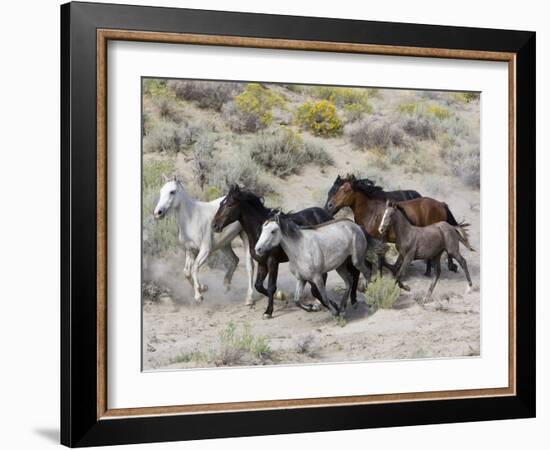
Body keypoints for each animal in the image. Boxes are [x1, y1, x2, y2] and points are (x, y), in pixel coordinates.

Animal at [212, 185, 362, 318]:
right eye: (221, 203)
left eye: (230, 204)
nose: (214, 225)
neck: (259, 231)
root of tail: (326, 214)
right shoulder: (262, 263)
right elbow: (259, 285)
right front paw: (282, 297)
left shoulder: (273, 262)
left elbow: (271, 286)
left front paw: (269, 311)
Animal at [328, 175, 466, 274]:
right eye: (337, 189)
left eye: (345, 190)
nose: (330, 205)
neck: (371, 211)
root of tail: (441, 204)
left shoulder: (379, 240)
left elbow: (381, 260)